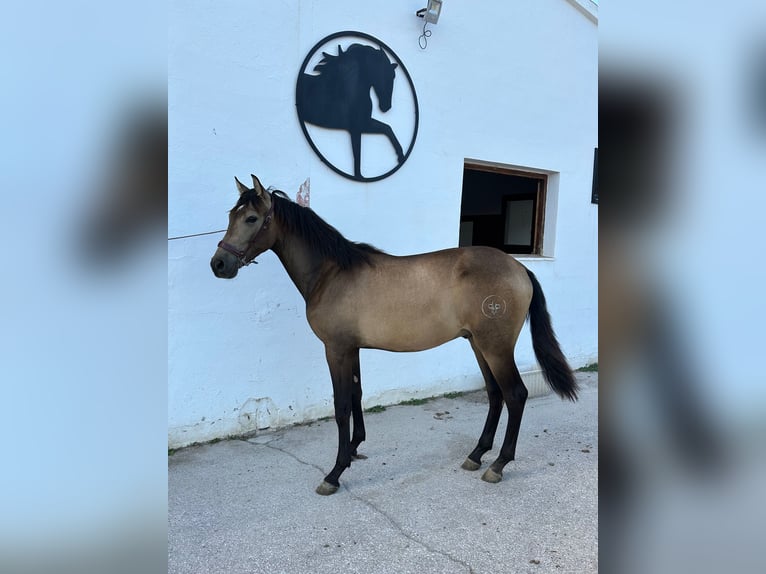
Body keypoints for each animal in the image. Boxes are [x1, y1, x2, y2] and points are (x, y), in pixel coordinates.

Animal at [208, 176, 576, 496]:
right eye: (231, 215)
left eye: (252, 218)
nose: (219, 264)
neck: (332, 273)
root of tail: (519, 268)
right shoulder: (352, 349)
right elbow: (356, 396)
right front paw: (354, 449)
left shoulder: (336, 349)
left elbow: (341, 406)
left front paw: (335, 473)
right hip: (478, 345)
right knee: (495, 394)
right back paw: (476, 455)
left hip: (495, 347)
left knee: (515, 394)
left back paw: (498, 465)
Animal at [296, 43, 408, 179]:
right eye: (388, 75)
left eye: (393, 76)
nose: (386, 107)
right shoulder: (358, 126)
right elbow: (357, 155)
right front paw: (359, 176)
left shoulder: (363, 123)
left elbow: (387, 128)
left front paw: (401, 155)